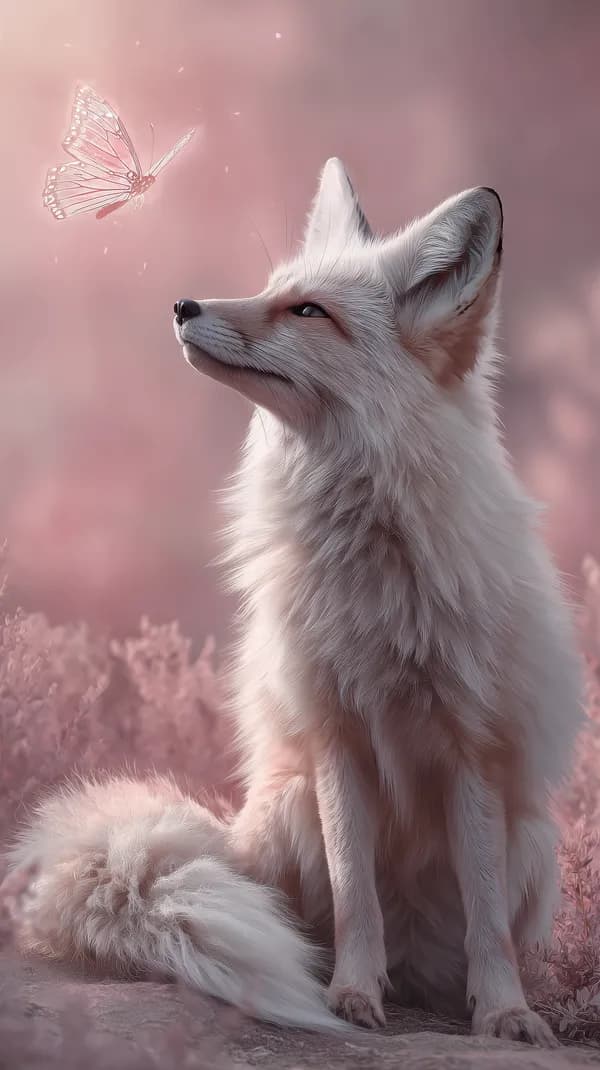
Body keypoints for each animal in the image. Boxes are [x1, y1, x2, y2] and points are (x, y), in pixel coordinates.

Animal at [8, 158, 584, 1047]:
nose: (184, 305)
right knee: (297, 916)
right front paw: (350, 997)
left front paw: (504, 1012)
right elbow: (354, 896)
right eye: (271, 288)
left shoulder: (473, 747)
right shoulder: (333, 736)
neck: (374, 567)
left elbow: (486, 920)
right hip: (288, 809)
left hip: (535, 841)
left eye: (308, 311)